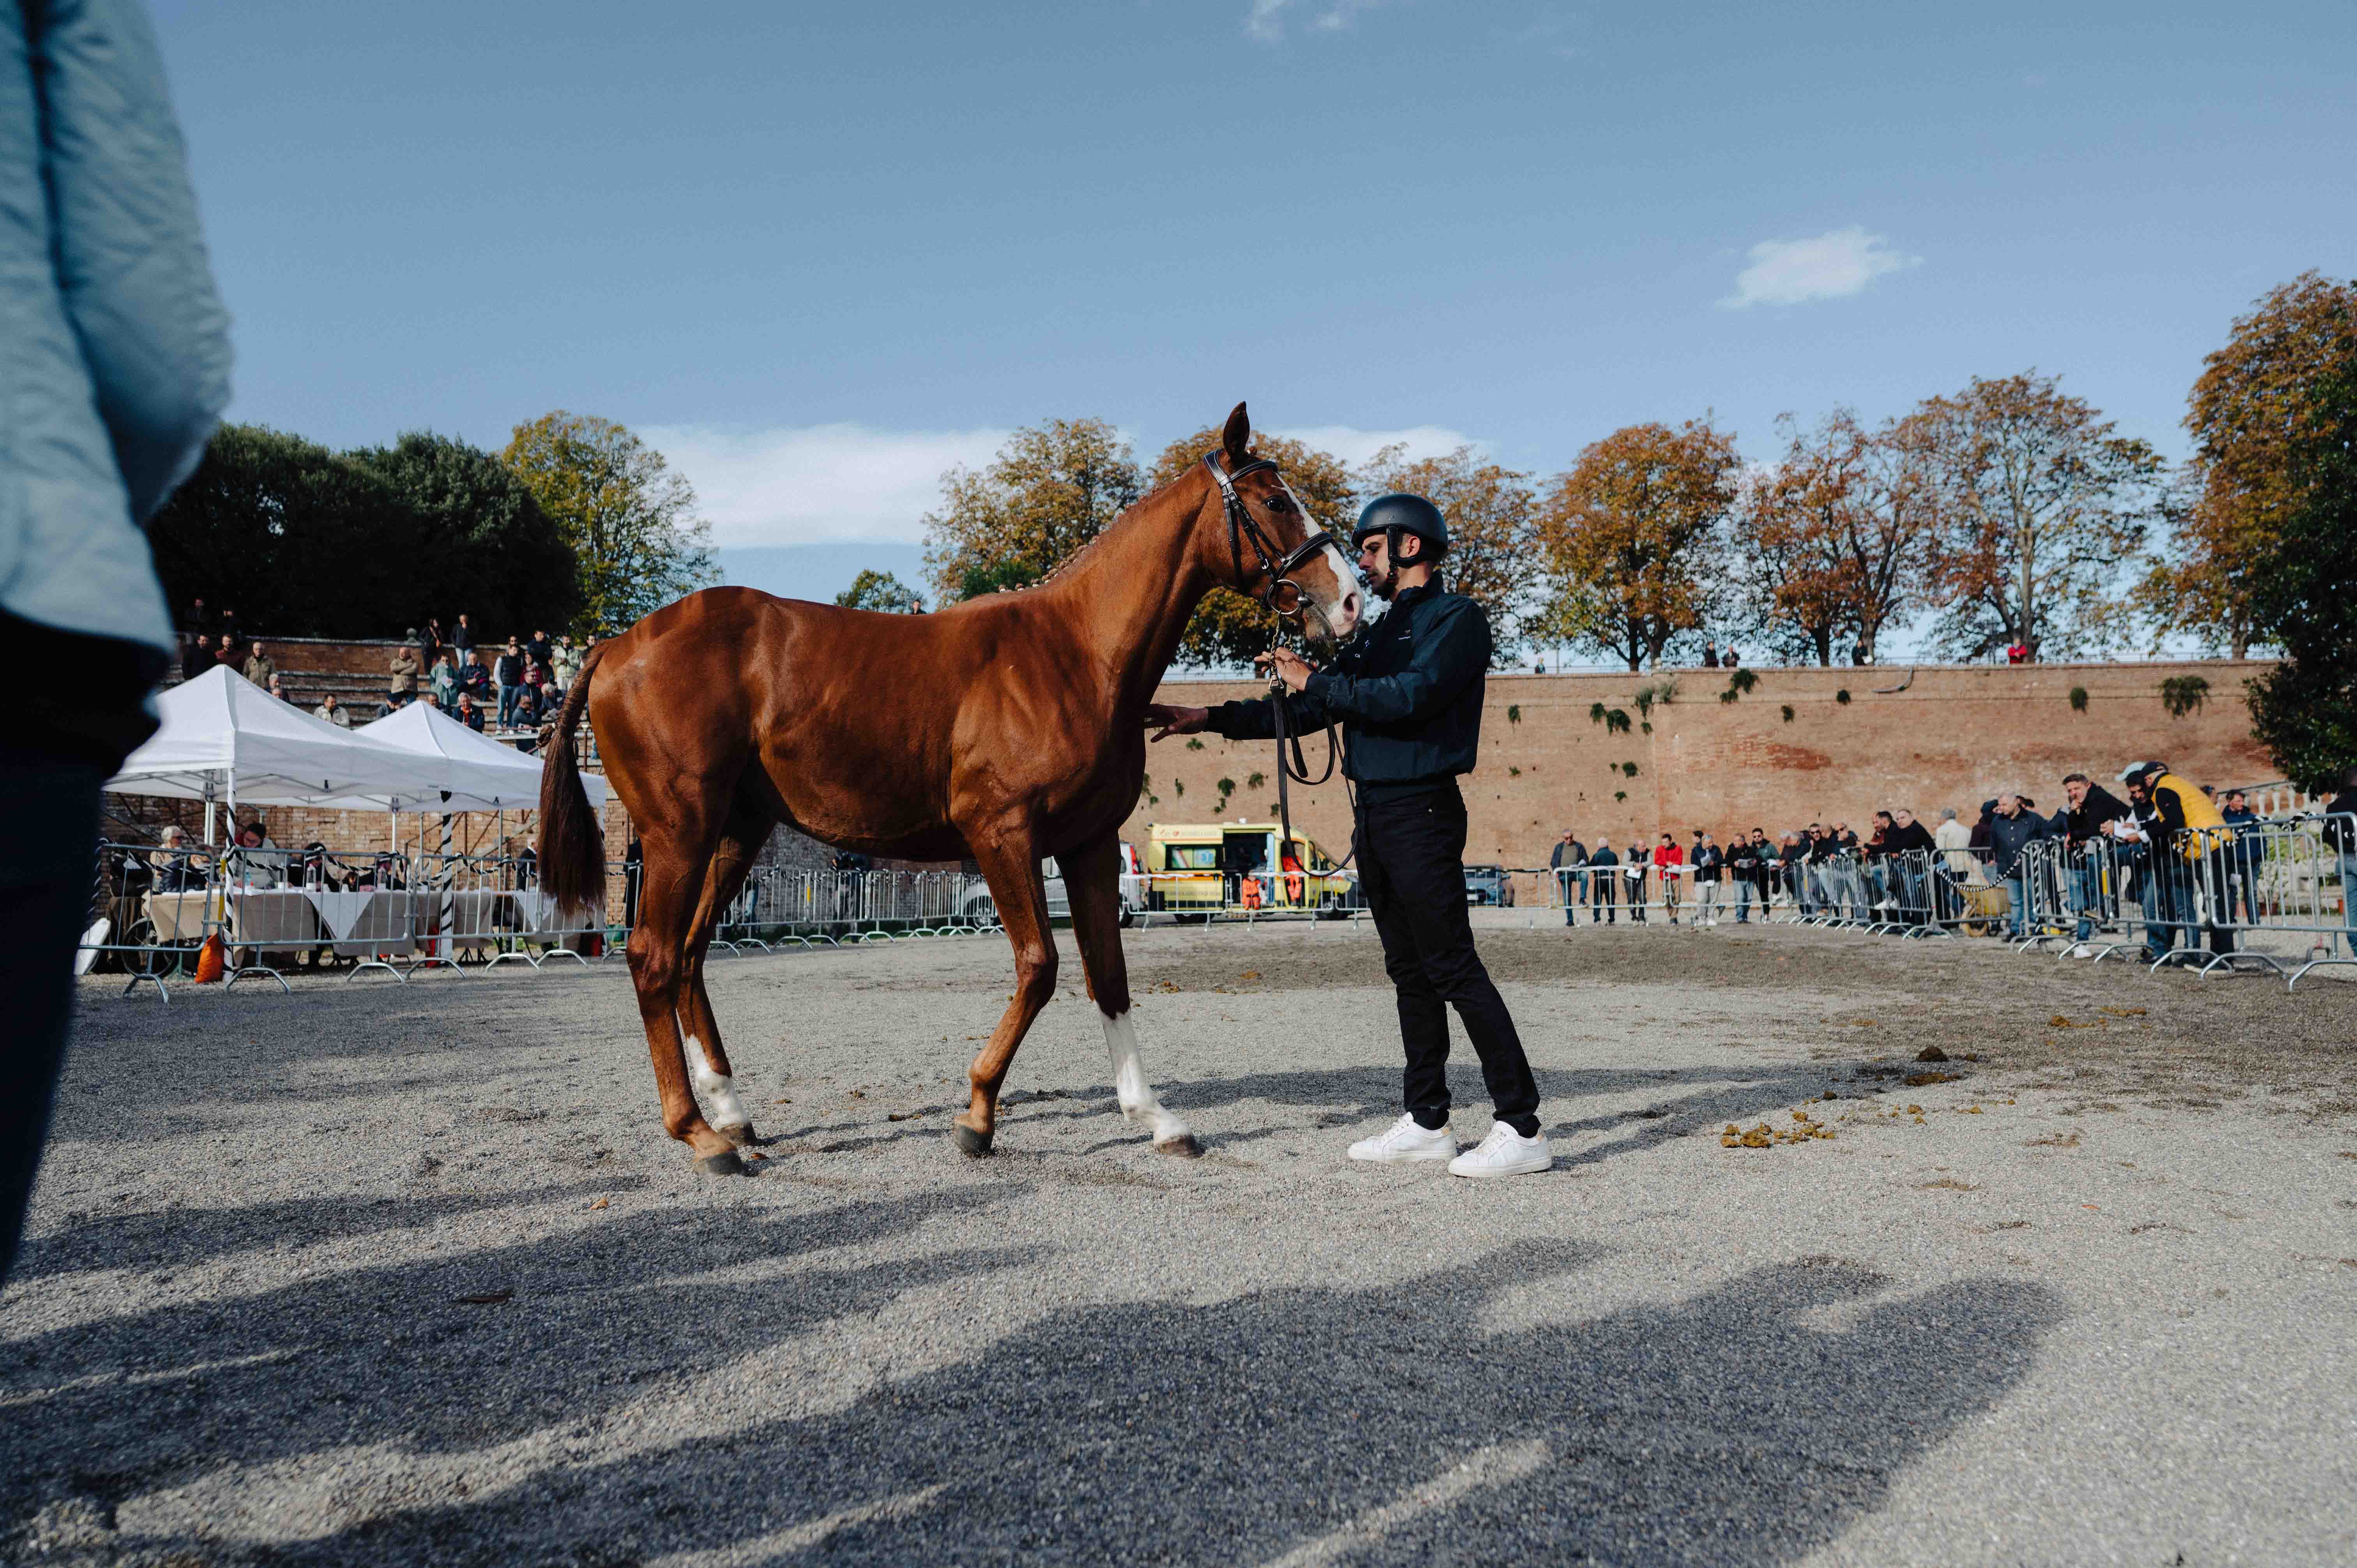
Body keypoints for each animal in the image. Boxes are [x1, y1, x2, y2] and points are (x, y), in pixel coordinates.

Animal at [542, 403, 1367, 1160]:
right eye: (1273, 500)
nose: (1351, 599)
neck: (1074, 653)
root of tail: (615, 643)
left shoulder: (1090, 843)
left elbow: (1108, 973)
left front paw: (1155, 1116)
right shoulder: (1000, 833)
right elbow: (1040, 966)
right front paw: (977, 1113)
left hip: (734, 832)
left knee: (688, 954)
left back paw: (731, 1112)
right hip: (677, 830)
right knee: (652, 954)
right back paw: (697, 1131)